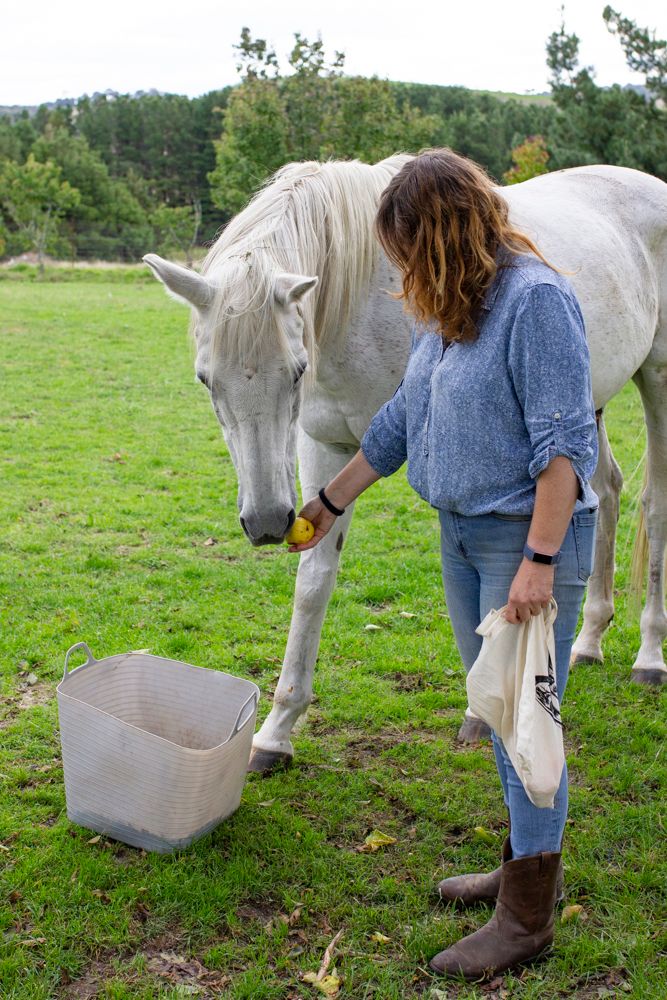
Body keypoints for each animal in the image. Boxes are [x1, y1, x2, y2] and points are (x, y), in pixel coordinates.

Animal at [144, 156, 667, 773]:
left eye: (296, 372)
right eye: (206, 379)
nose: (268, 522)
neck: (359, 299)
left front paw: (481, 710)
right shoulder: (325, 445)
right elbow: (314, 582)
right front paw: (276, 732)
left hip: (656, 379)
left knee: (654, 507)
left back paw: (649, 656)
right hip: (584, 401)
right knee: (605, 492)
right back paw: (589, 641)